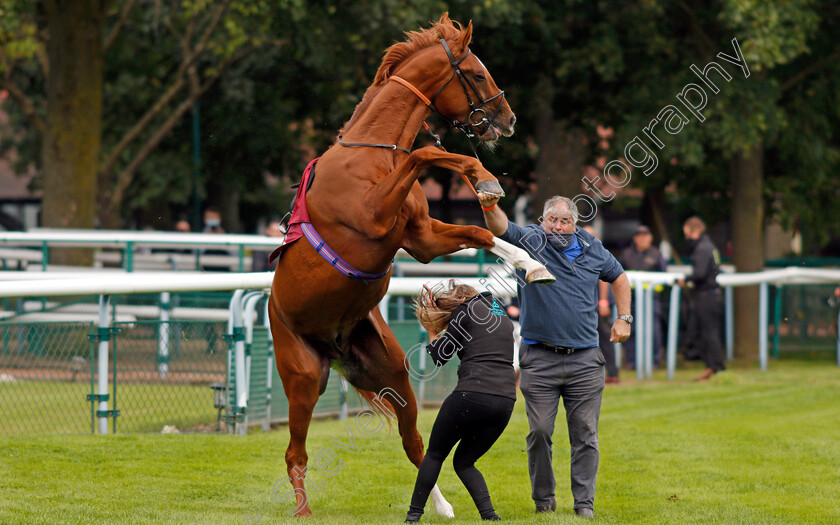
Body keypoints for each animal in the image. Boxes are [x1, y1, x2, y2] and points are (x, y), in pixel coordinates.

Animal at [270, 13, 556, 516]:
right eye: (477, 74)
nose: (508, 119)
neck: (375, 155)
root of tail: (334, 347)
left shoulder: (420, 238)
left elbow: (479, 232)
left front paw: (530, 263)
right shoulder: (375, 217)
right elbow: (427, 153)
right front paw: (483, 177)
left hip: (391, 374)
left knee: (415, 442)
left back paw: (441, 506)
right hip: (303, 379)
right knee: (295, 453)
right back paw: (302, 512)